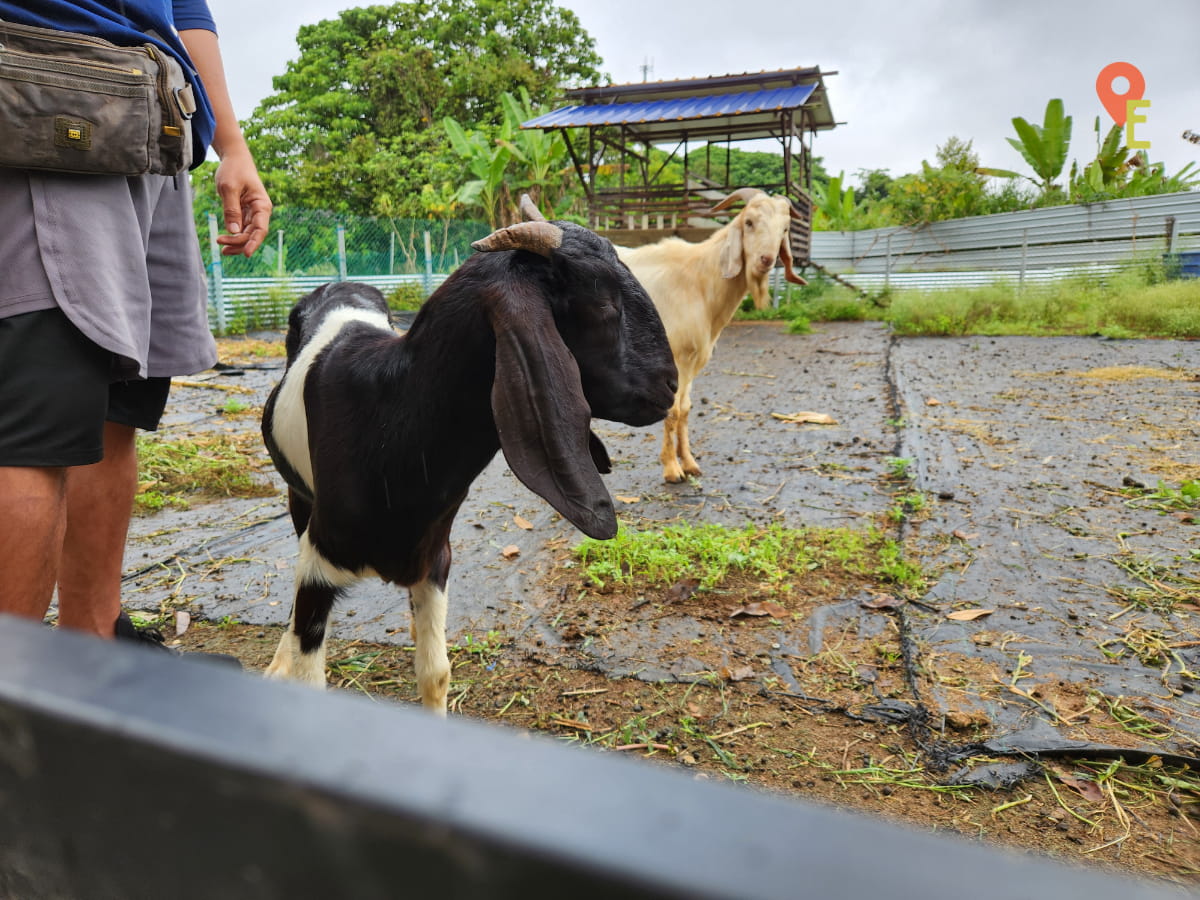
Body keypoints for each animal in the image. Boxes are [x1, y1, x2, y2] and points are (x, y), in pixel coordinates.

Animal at [260, 199, 676, 720]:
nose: (670, 387)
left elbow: (435, 673)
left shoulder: (435, 558)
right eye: (604, 306)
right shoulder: (321, 561)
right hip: (299, 498)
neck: (388, 427)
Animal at [619, 190, 806, 487]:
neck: (699, 280)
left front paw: (690, 464)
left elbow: (685, 409)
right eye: (749, 222)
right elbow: (672, 411)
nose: (765, 260)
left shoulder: (694, 361)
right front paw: (671, 469)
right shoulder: (676, 358)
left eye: (785, 228)